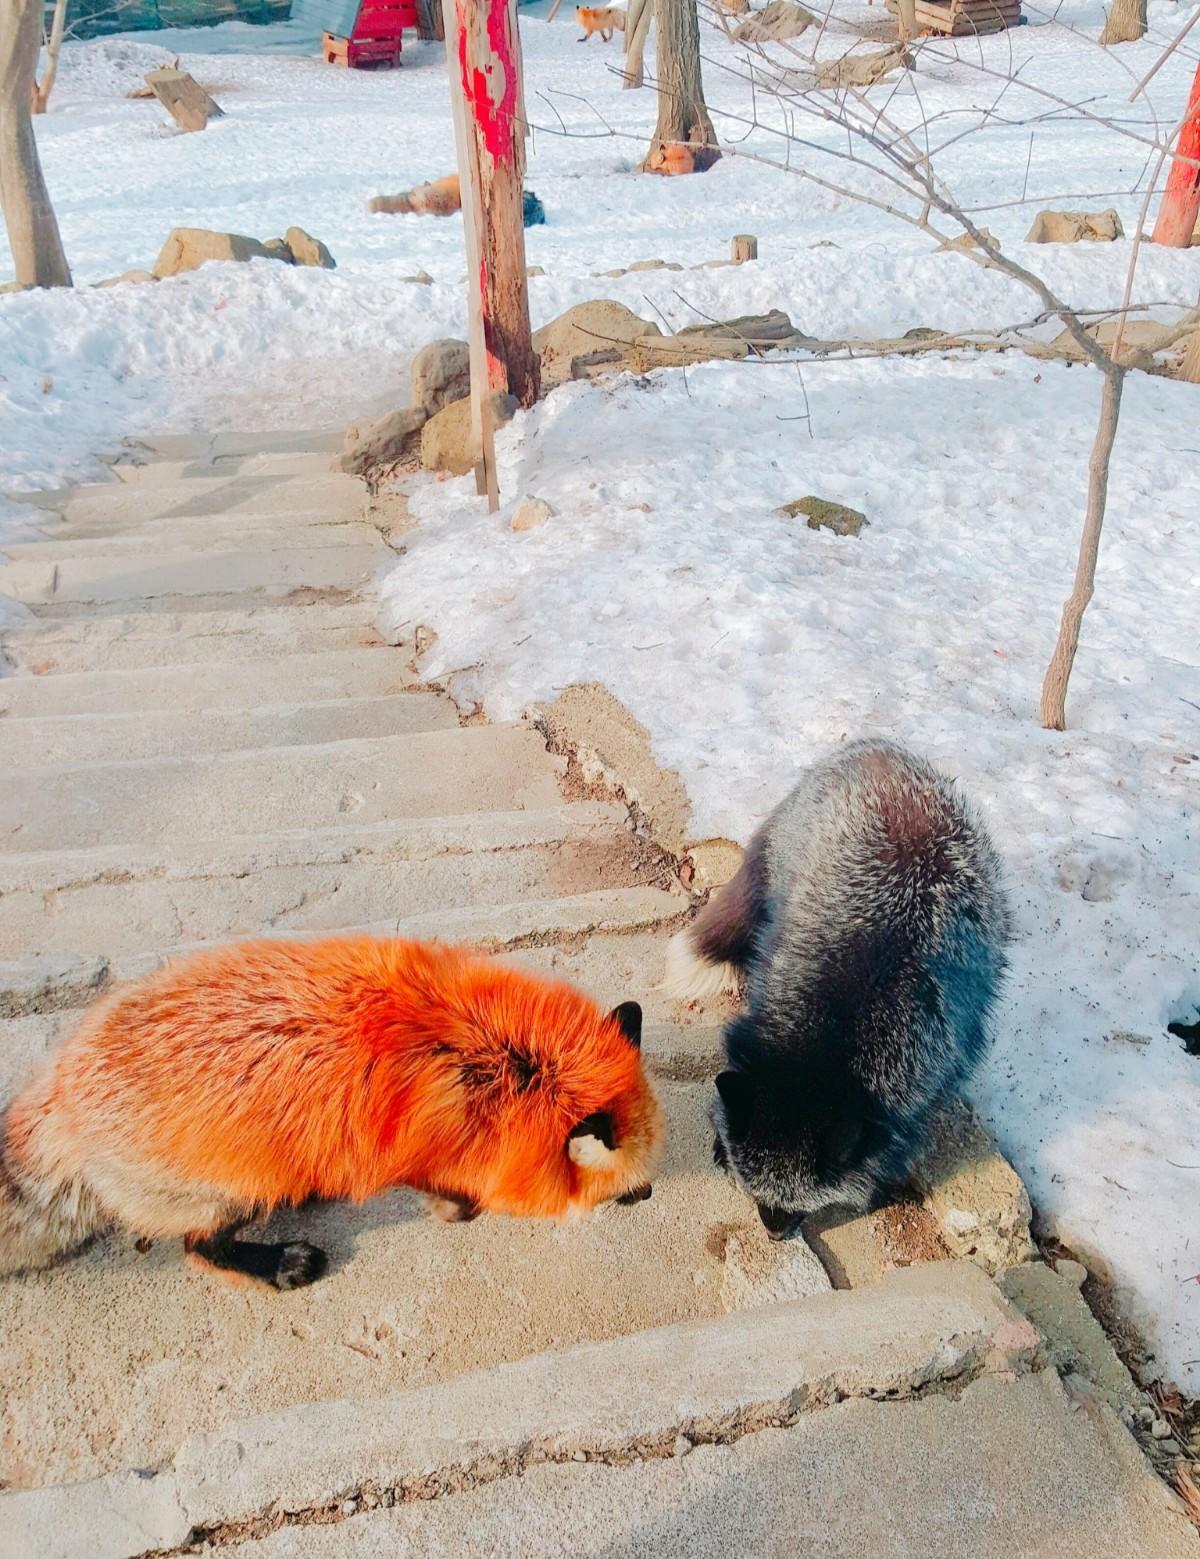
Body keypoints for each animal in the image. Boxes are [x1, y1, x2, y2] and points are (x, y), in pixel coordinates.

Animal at [0, 937, 661, 1289]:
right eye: (629, 1193)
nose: (654, 1194)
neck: (501, 1062)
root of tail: (60, 1086)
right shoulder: (434, 1156)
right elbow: (450, 1195)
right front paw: (457, 1211)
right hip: (236, 1190)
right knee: (197, 1247)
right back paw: (280, 1263)